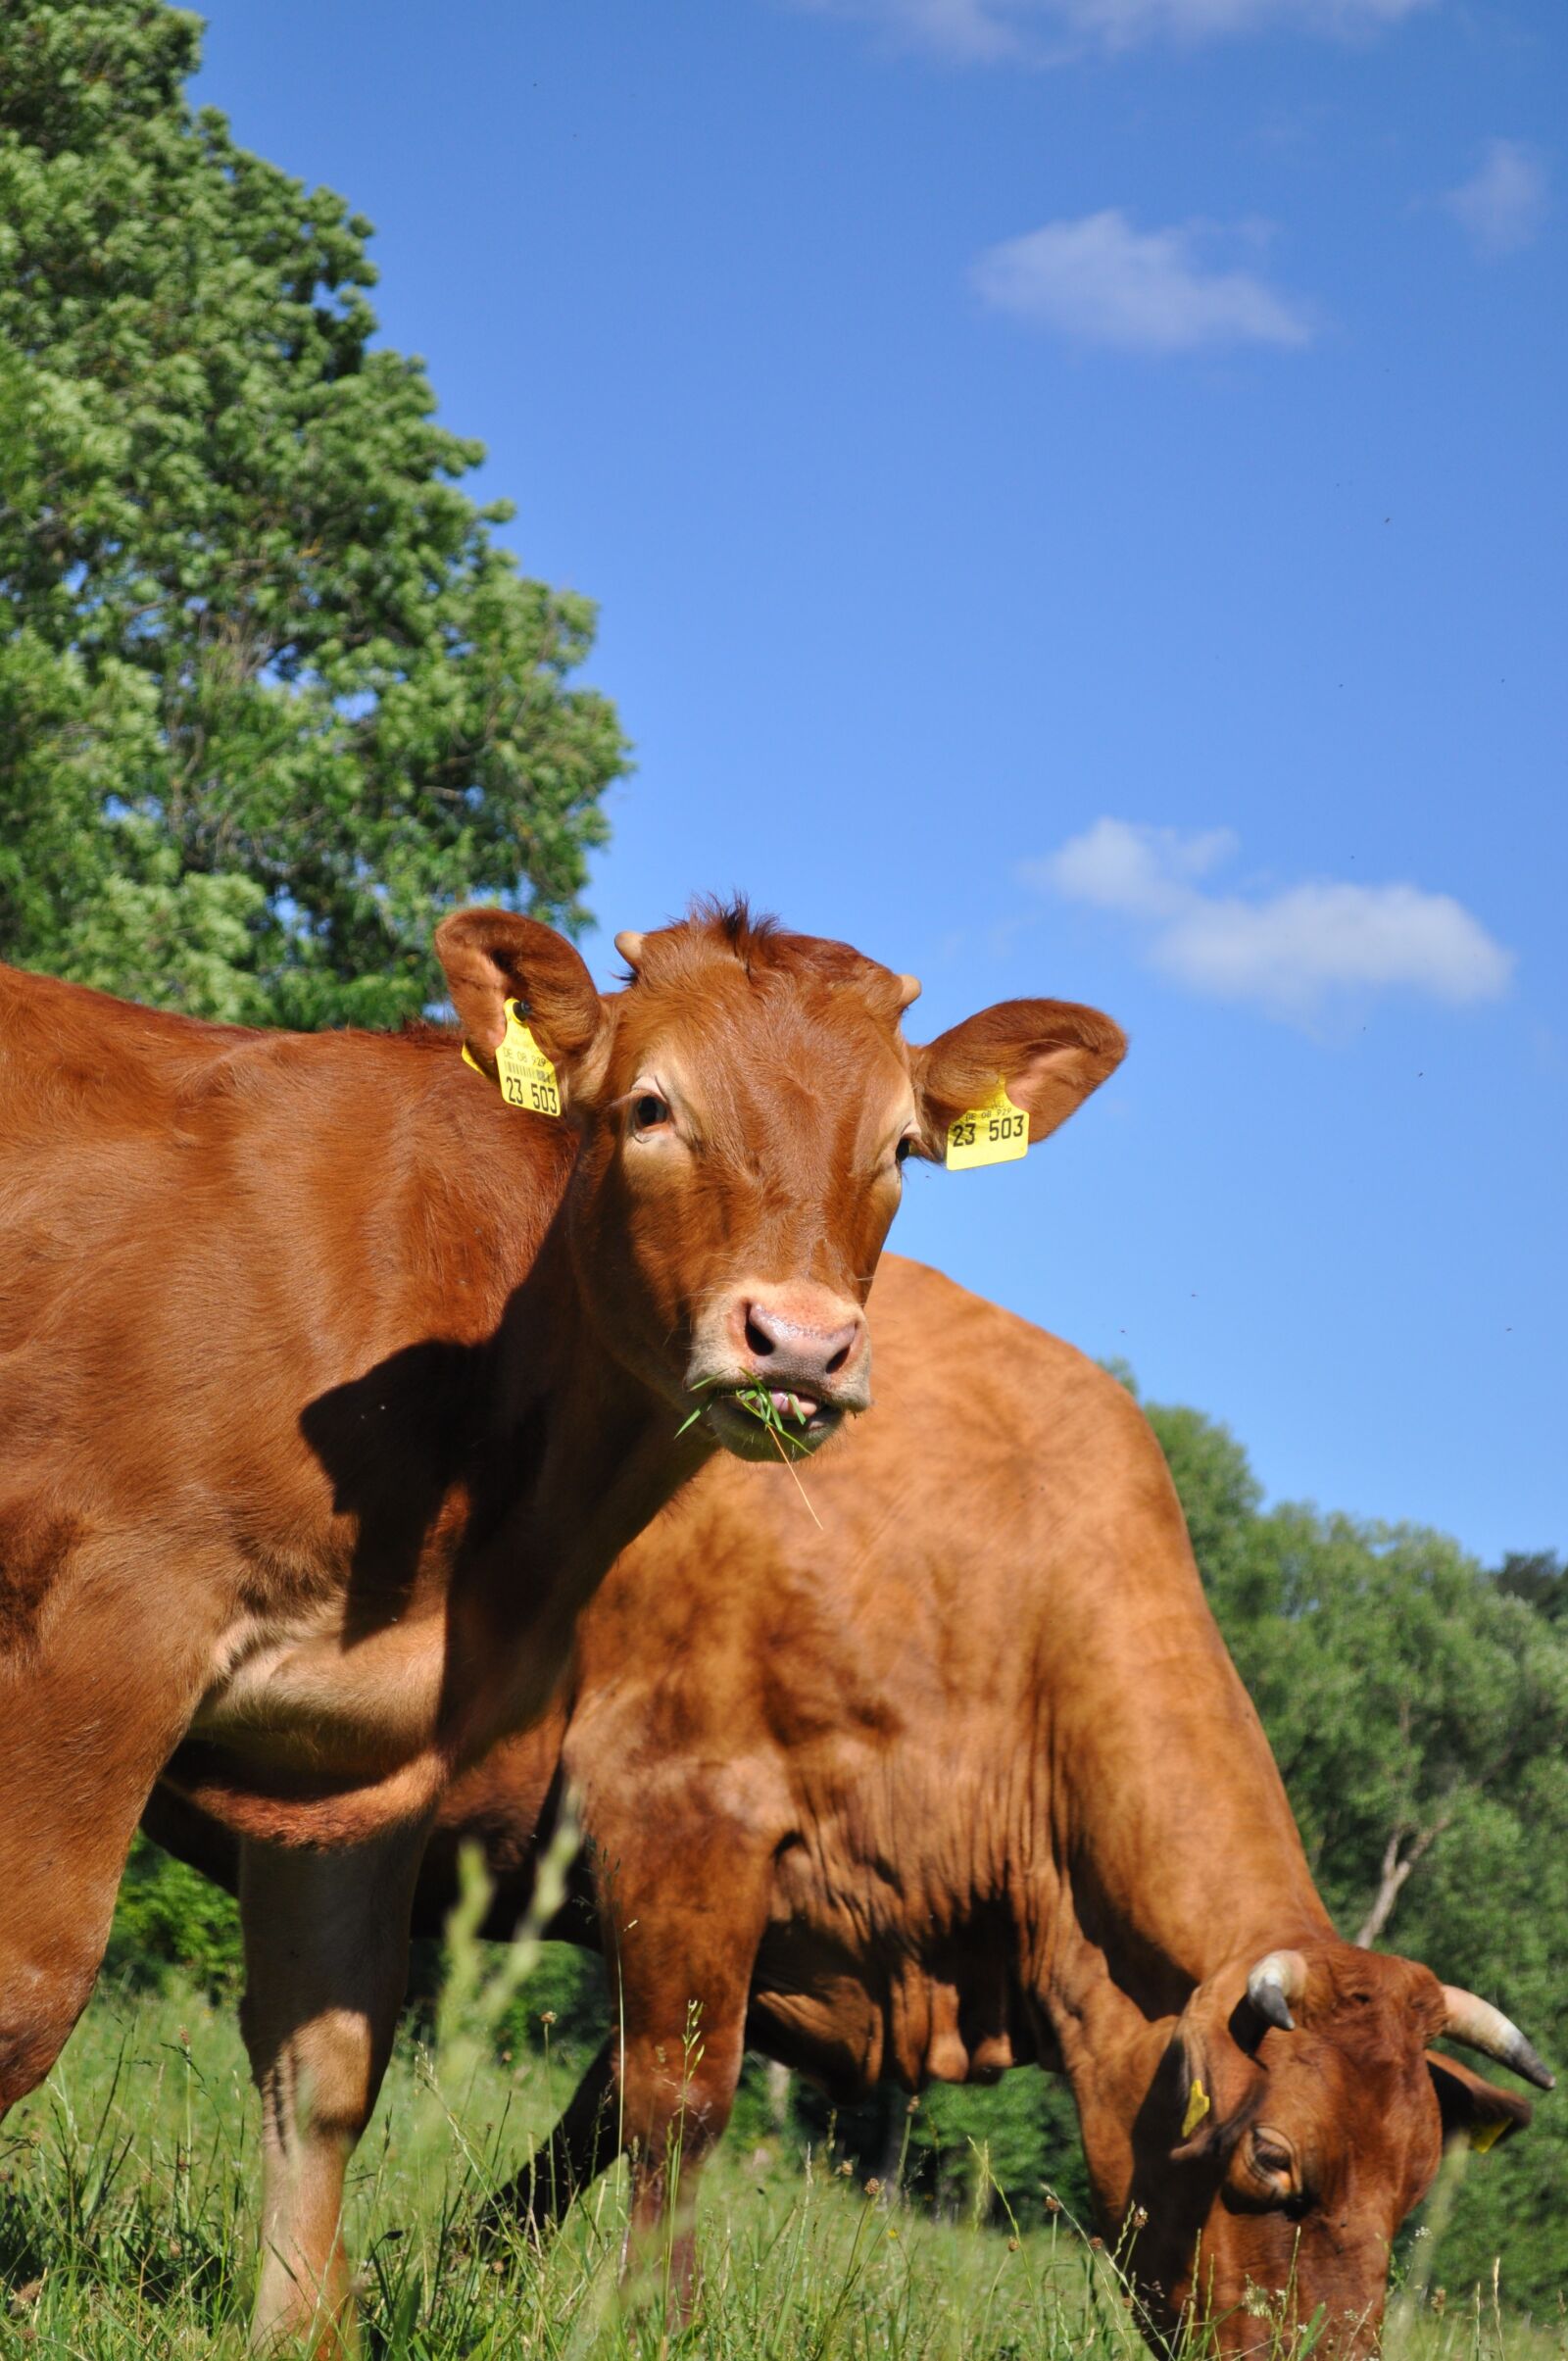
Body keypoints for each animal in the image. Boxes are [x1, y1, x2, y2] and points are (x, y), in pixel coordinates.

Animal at [1, 903, 1125, 2347]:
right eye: (651, 1107)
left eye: (899, 1150)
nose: (799, 1344)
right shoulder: (109, 1625)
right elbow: (30, 1996)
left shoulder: (356, 1742)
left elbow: (327, 2060)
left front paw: (301, 2331)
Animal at [147, 1255, 1552, 2354]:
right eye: (1274, 2165)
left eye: (1413, 2195)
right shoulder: (685, 1817)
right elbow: (676, 2112)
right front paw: (662, 2329)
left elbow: (596, 2115)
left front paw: (447, 2267)